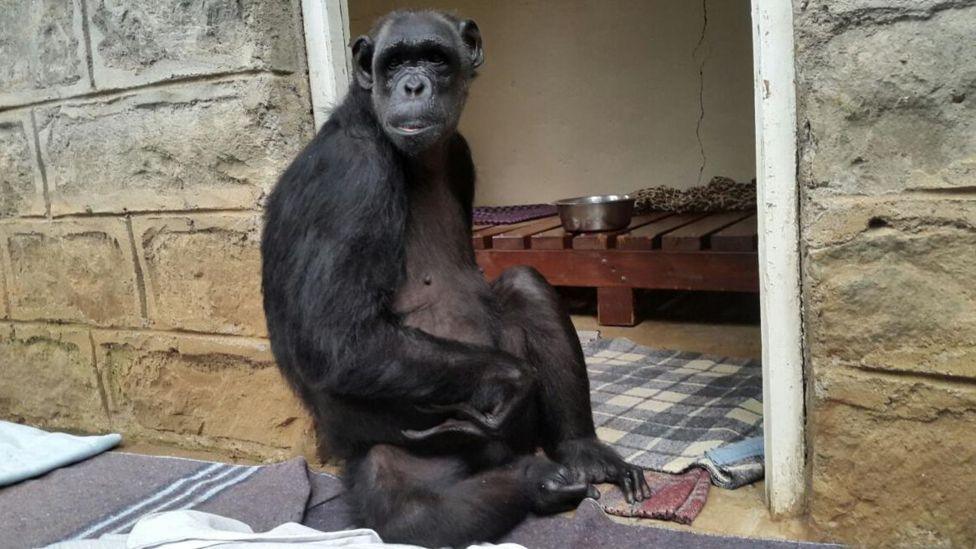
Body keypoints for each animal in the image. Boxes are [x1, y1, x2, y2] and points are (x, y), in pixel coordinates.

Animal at [264, 10, 652, 544]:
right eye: (394, 62)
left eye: (433, 57)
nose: (412, 84)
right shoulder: (350, 177)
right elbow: (335, 339)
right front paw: (512, 378)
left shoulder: (461, 154)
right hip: (406, 454)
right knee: (410, 510)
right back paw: (538, 480)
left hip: (522, 433)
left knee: (525, 283)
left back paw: (580, 454)